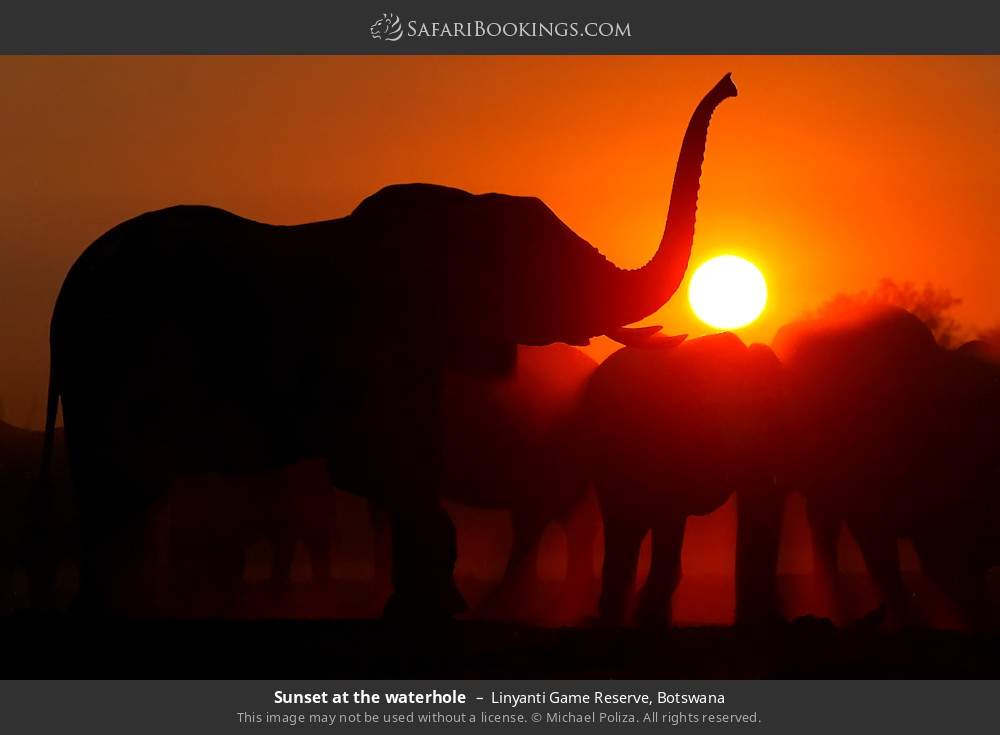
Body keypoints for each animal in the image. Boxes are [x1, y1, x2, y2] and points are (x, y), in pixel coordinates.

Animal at [42, 73, 738, 617]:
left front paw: (428, 606)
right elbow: (380, 461)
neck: (460, 210)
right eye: (548, 270)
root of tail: (66, 290)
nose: (730, 84)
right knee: (117, 485)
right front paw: (435, 608)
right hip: (109, 361)